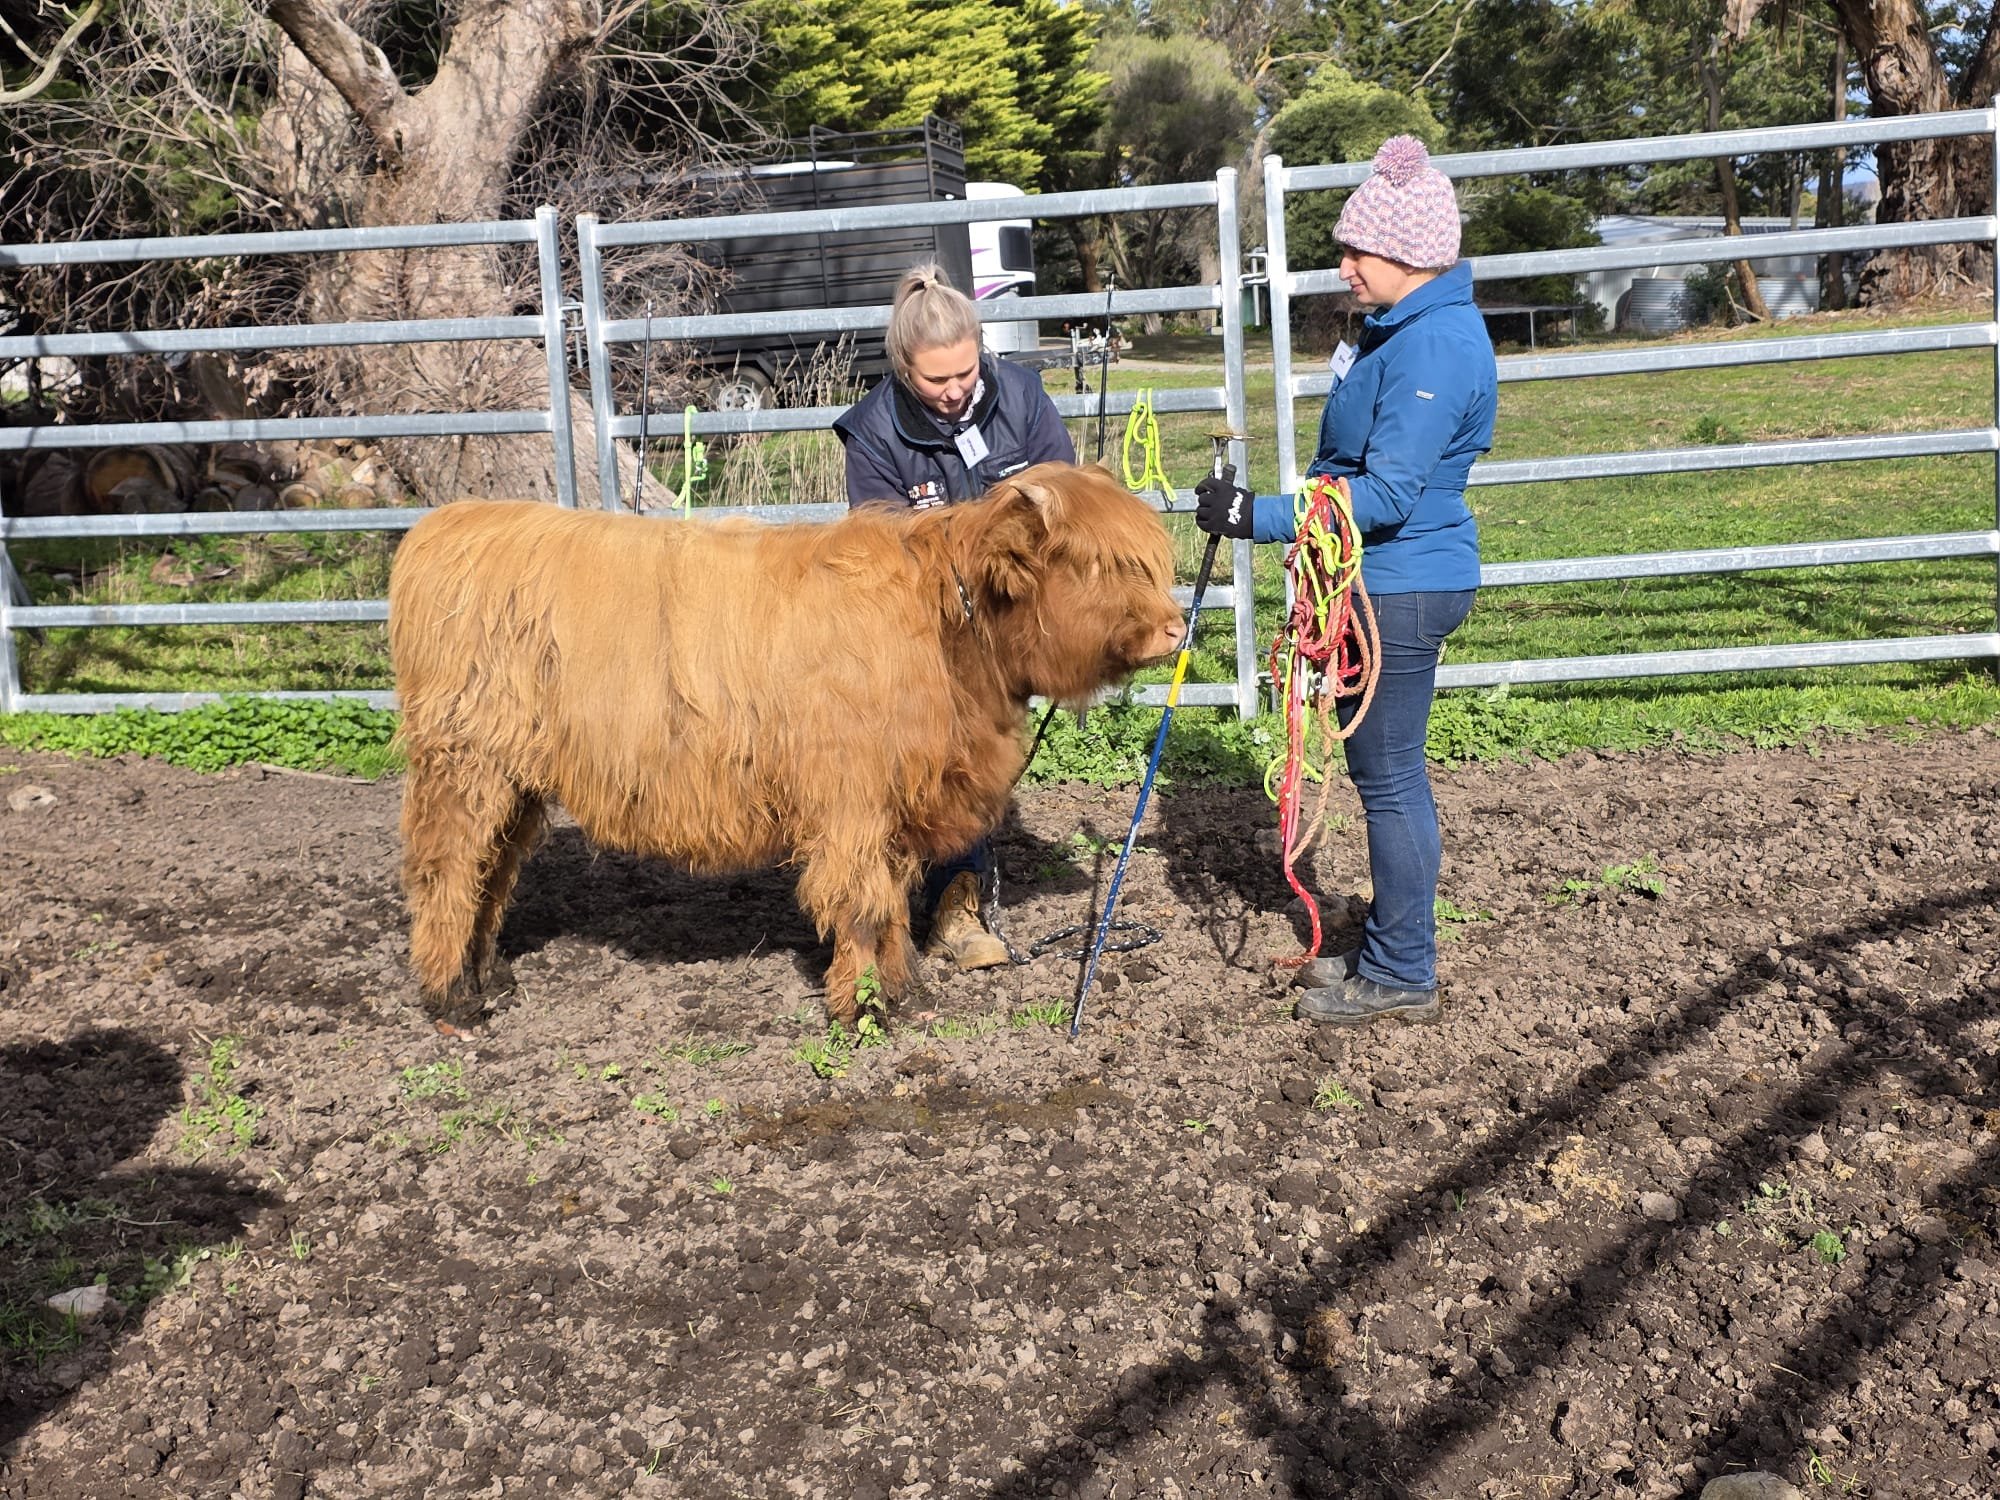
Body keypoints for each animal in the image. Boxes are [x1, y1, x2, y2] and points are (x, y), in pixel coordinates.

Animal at [386, 462, 1185, 1024]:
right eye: (1096, 564)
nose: (1176, 628)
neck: (945, 630)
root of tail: (448, 527)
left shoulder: (891, 805)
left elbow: (892, 903)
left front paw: (905, 990)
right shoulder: (850, 800)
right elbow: (860, 904)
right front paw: (863, 1008)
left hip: (515, 778)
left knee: (493, 871)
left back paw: (491, 978)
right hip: (465, 763)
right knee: (448, 868)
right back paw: (452, 998)